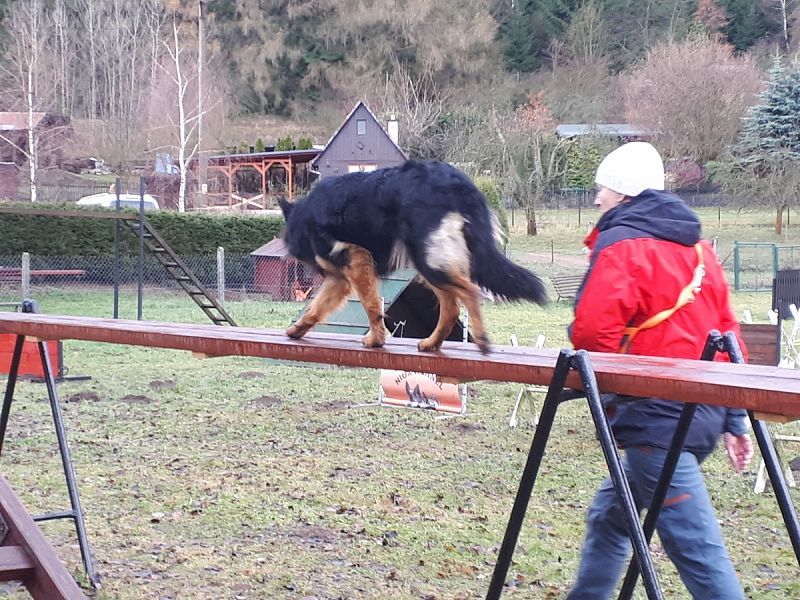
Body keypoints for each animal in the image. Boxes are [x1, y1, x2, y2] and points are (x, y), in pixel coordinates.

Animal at [278, 161, 548, 356]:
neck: (306, 215)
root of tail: (460, 183)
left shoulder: (357, 260)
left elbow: (372, 306)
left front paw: (376, 340)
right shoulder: (340, 280)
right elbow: (316, 308)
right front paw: (298, 329)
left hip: (428, 261)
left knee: (469, 292)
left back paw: (480, 340)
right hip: (430, 264)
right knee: (451, 306)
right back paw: (432, 343)